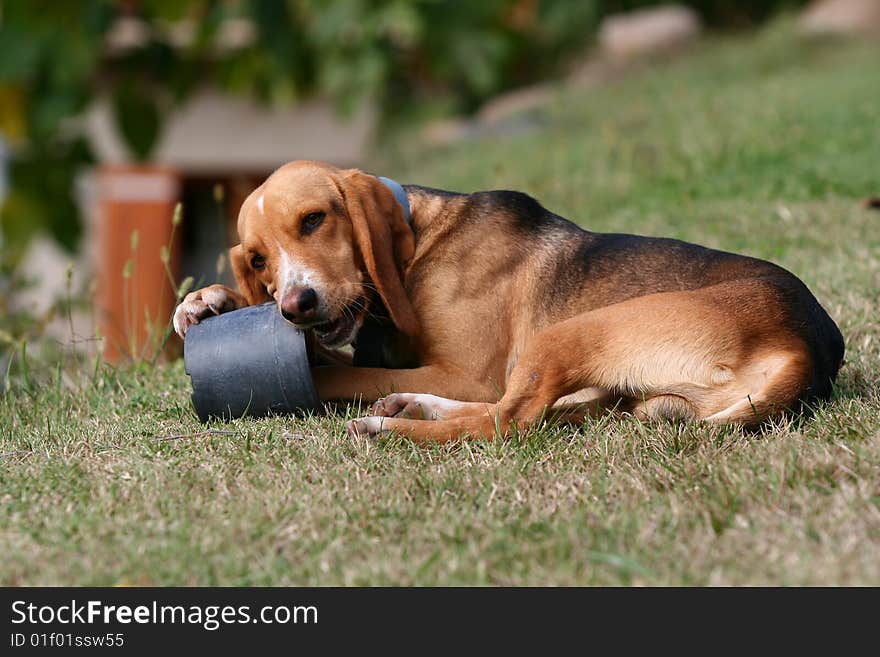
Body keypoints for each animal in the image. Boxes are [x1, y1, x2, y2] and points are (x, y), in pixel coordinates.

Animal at [174, 161, 844, 444]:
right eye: (256, 260)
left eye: (314, 220)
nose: (295, 306)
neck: (420, 240)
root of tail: (806, 347)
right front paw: (207, 301)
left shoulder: (466, 372)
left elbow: (340, 372)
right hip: (626, 398)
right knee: (531, 413)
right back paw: (414, 408)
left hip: (572, 332)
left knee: (506, 422)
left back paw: (389, 425)